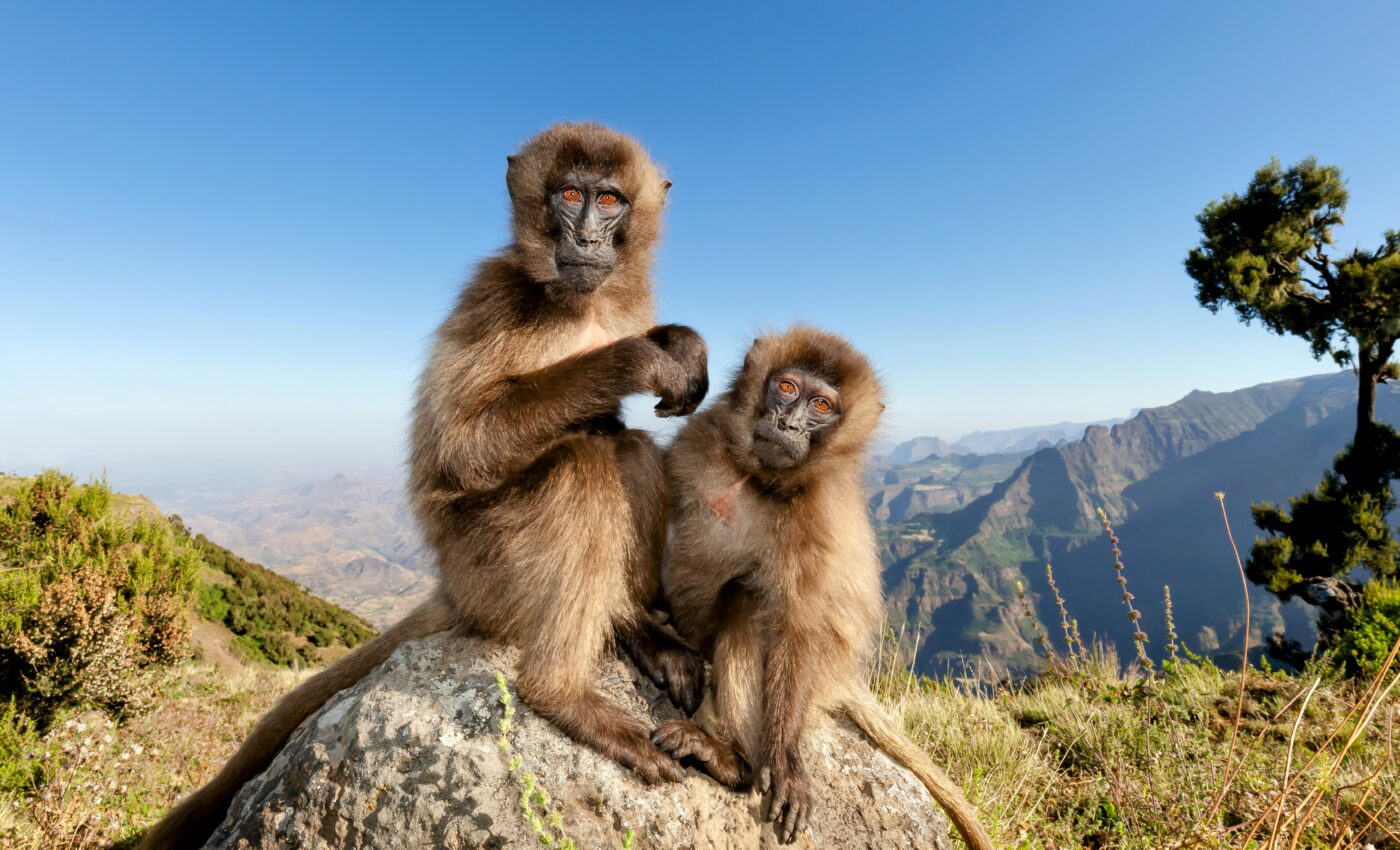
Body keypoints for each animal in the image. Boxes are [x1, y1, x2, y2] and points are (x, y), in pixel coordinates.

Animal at [140, 123, 708, 850]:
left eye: (609, 199)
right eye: (569, 194)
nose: (584, 238)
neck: (577, 304)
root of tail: (452, 588)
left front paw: (679, 342)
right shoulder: (497, 296)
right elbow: (458, 452)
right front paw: (637, 356)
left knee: (628, 450)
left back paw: (634, 626)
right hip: (488, 568)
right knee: (583, 464)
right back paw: (562, 694)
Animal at [652, 327, 995, 849]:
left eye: (821, 405)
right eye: (787, 388)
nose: (789, 423)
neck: (756, 479)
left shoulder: (817, 515)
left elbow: (798, 627)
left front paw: (784, 761)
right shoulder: (699, 440)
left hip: (824, 671)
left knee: (745, 602)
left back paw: (734, 762)